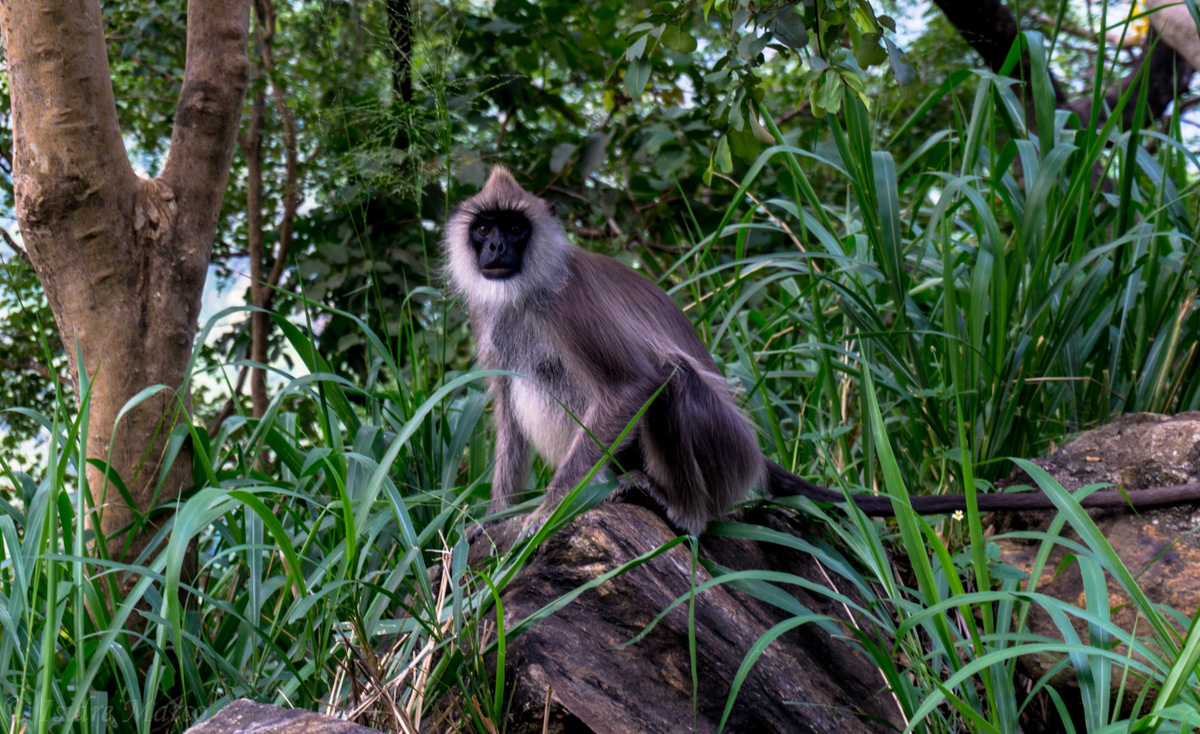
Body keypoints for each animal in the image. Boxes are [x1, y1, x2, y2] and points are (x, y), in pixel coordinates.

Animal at [446, 166, 1200, 532]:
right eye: (485, 229)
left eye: (514, 229)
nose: (495, 246)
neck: (525, 289)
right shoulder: (492, 319)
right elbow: (506, 412)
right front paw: (494, 517)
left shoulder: (564, 302)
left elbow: (636, 384)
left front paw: (538, 520)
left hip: (725, 455)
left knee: (677, 380)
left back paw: (686, 512)